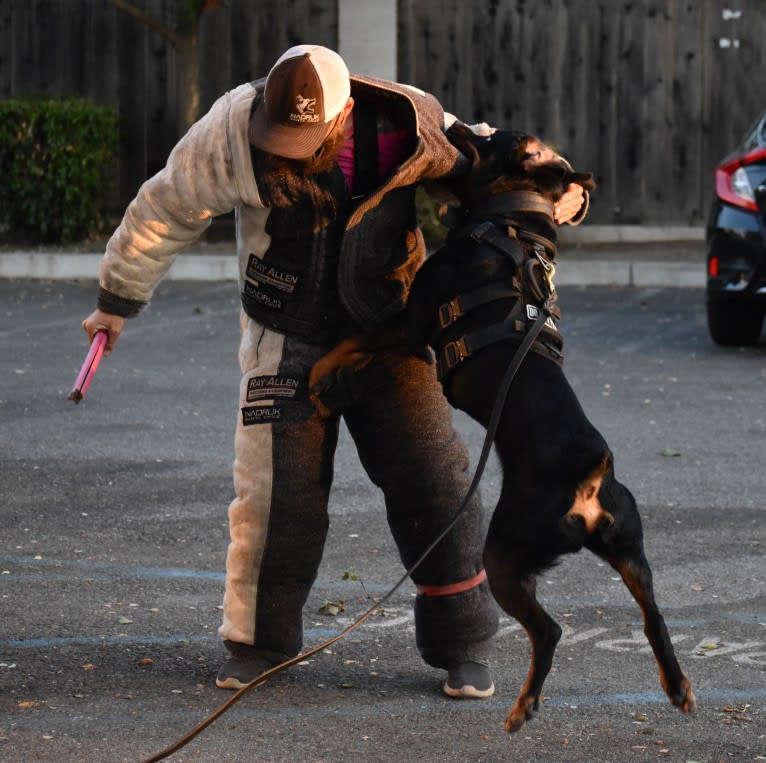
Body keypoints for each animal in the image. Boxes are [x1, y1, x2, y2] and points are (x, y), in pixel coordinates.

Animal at [308, 125, 696, 736]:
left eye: (494, 137)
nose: (458, 126)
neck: (512, 220)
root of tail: (590, 480)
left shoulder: (409, 322)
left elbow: (351, 342)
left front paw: (319, 373)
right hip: (629, 551)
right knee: (653, 615)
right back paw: (676, 687)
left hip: (505, 556)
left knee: (550, 630)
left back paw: (524, 706)